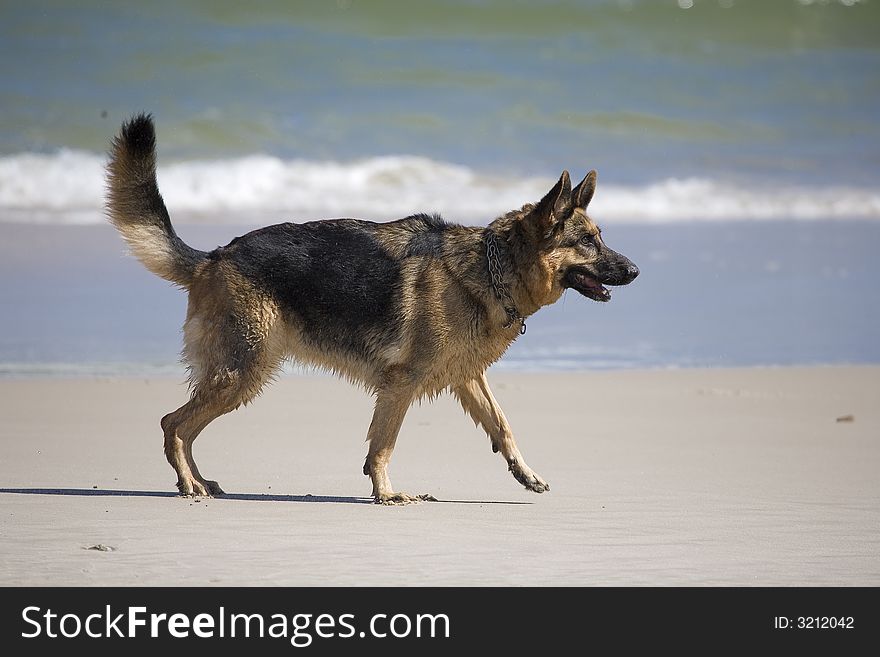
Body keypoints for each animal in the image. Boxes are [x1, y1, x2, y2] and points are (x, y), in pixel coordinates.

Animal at [106, 114, 636, 502]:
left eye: (600, 237)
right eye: (587, 243)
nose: (634, 270)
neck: (489, 270)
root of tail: (214, 256)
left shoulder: (466, 377)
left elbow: (503, 425)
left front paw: (525, 473)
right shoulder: (401, 383)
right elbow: (384, 443)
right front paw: (385, 494)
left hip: (239, 377)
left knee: (184, 425)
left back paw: (198, 480)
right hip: (242, 373)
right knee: (174, 423)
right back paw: (189, 484)